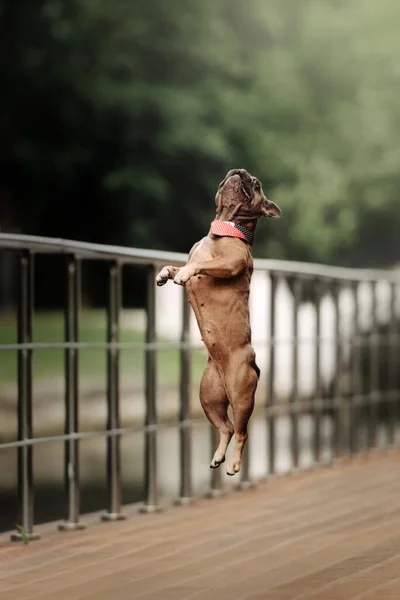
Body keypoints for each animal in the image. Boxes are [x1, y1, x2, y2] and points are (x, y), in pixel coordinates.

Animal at [156, 168, 282, 474]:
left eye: (256, 184)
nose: (242, 172)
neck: (224, 227)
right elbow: (177, 265)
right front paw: (166, 273)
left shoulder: (229, 263)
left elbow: (200, 265)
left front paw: (184, 274)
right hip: (208, 398)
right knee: (226, 428)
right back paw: (217, 456)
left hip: (241, 395)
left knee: (242, 430)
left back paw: (234, 463)